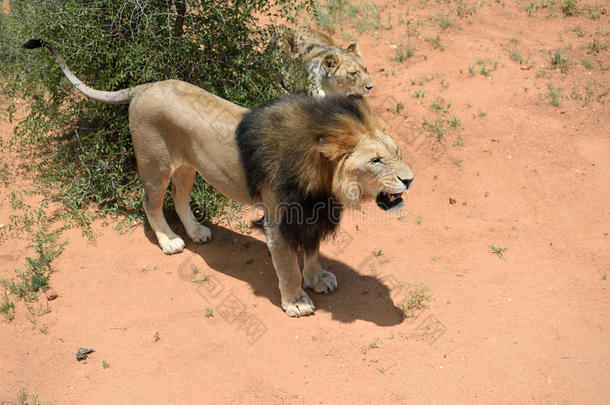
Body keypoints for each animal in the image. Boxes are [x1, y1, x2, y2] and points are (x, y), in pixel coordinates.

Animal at [25, 38, 414, 316]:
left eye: (396, 151)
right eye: (376, 161)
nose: (409, 179)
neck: (324, 177)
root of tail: (143, 87)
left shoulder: (313, 212)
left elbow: (313, 252)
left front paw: (317, 280)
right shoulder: (280, 217)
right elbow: (288, 265)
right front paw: (296, 301)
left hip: (188, 167)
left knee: (180, 198)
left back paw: (197, 232)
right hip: (155, 165)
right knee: (150, 203)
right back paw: (169, 241)